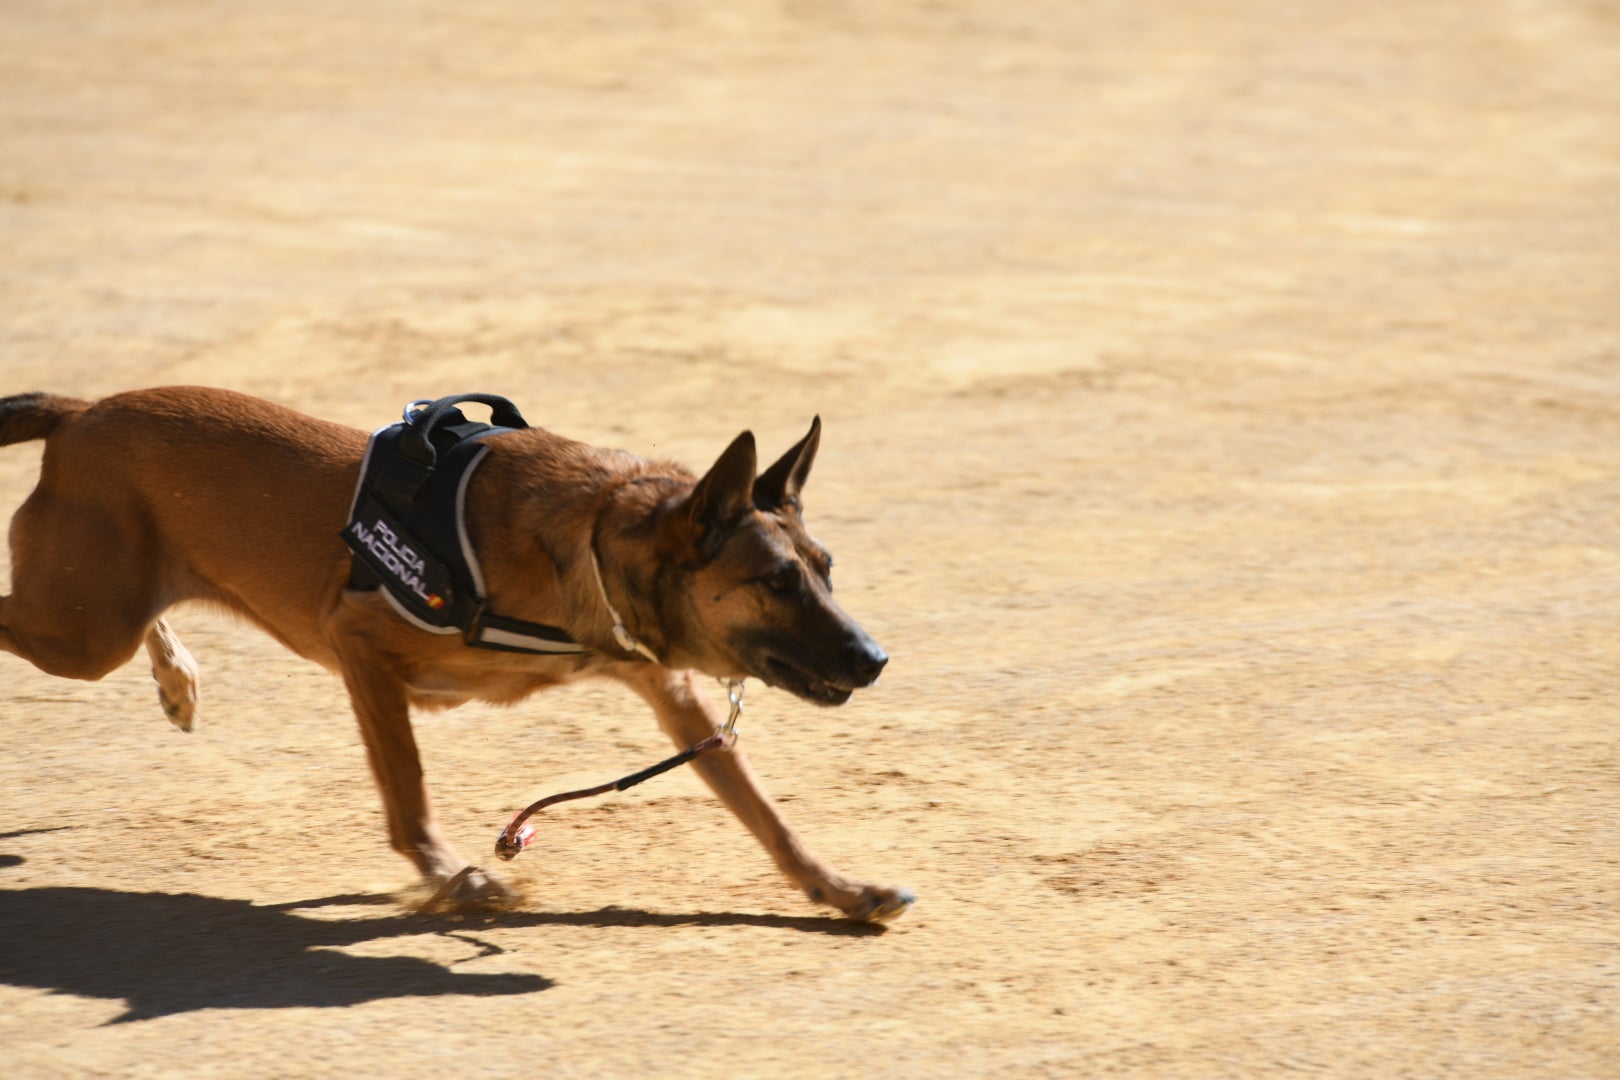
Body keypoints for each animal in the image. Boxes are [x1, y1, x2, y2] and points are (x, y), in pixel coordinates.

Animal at [0, 388, 913, 919]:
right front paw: (453, 876)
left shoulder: (674, 697)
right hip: (82, 633)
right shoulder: (362, 646)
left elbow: (766, 816)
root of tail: (80, 410)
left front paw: (839, 888)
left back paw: (177, 679)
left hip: (98, 615)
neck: (595, 539)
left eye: (827, 568)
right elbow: (408, 794)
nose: (874, 659)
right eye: (777, 582)